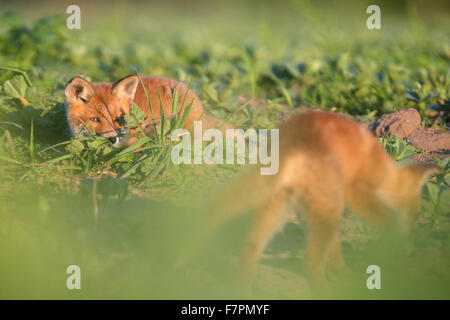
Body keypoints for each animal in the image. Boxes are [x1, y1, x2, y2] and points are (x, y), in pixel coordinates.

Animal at [192, 111, 442, 294]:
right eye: (415, 213)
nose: (414, 238)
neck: (383, 169)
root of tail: (297, 143)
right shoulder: (353, 192)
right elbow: (386, 222)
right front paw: (397, 245)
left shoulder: (310, 210)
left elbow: (334, 248)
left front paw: (344, 274)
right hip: (326, 205)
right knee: (311, 259)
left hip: (277, 203)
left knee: (240, 233)